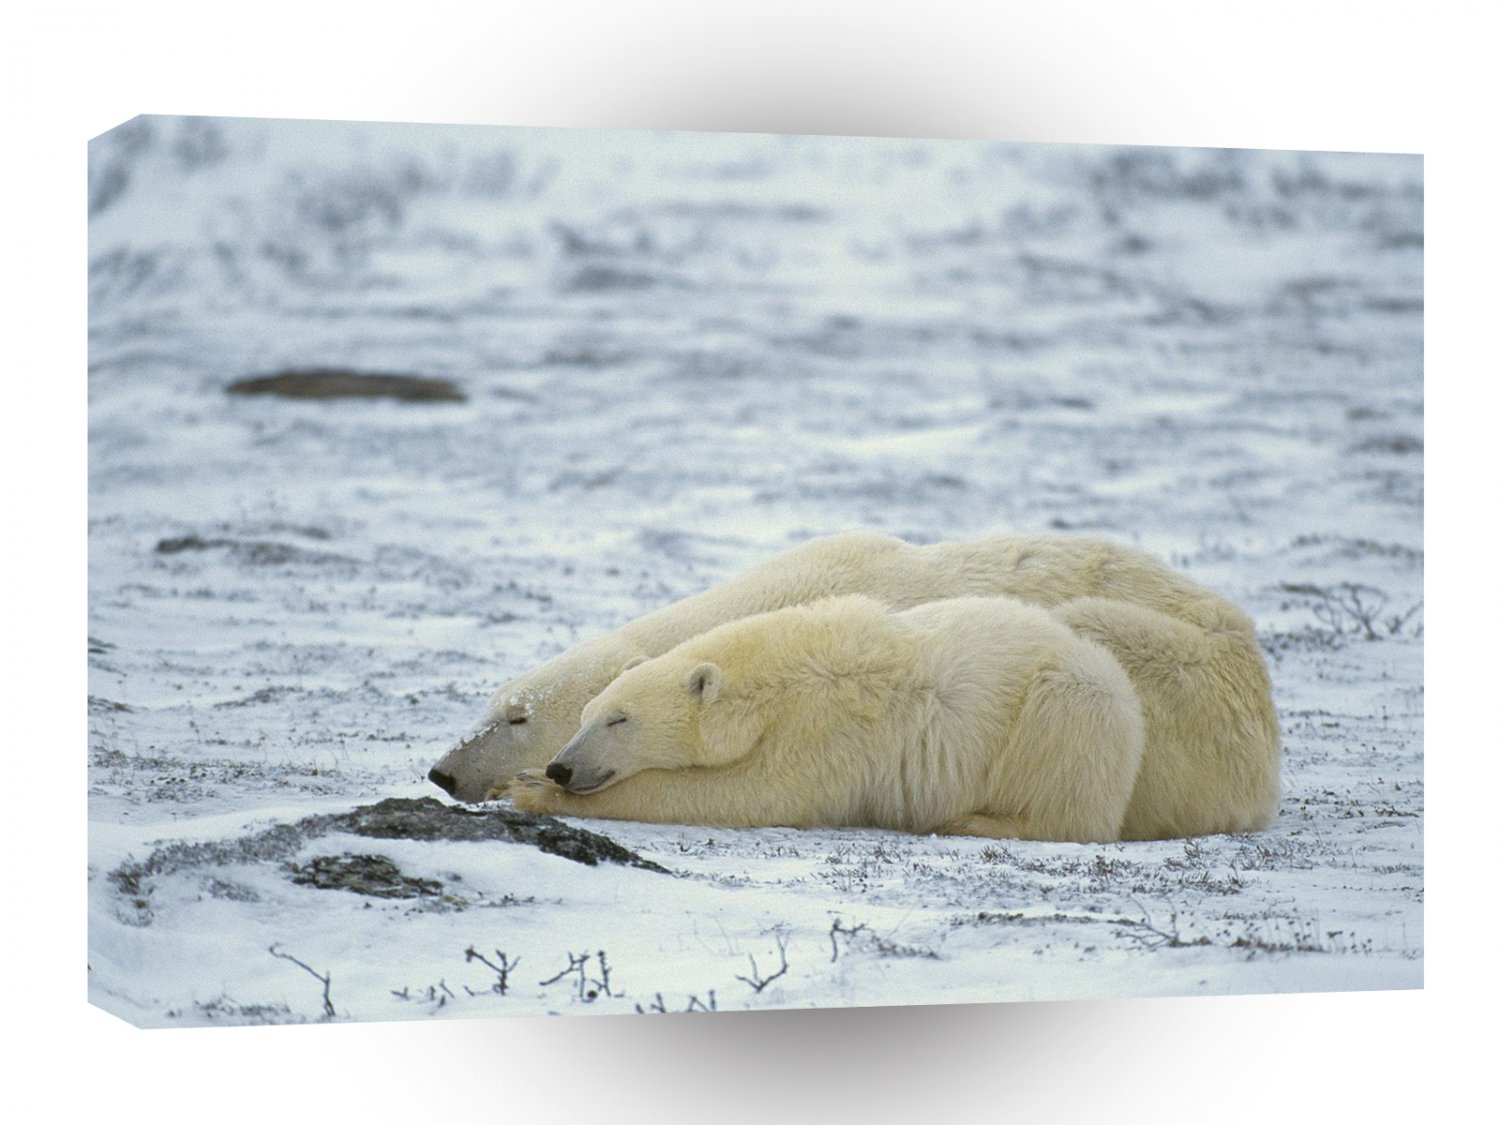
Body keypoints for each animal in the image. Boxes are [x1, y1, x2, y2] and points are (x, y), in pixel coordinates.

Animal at [509, 592, 1282, 842]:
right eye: (585, 713)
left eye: (618, 720)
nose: (561, 764)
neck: (778, 677)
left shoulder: (830, 730)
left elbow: (751, 794)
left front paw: (526, 789)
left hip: (1071, 706)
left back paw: (969, 818)